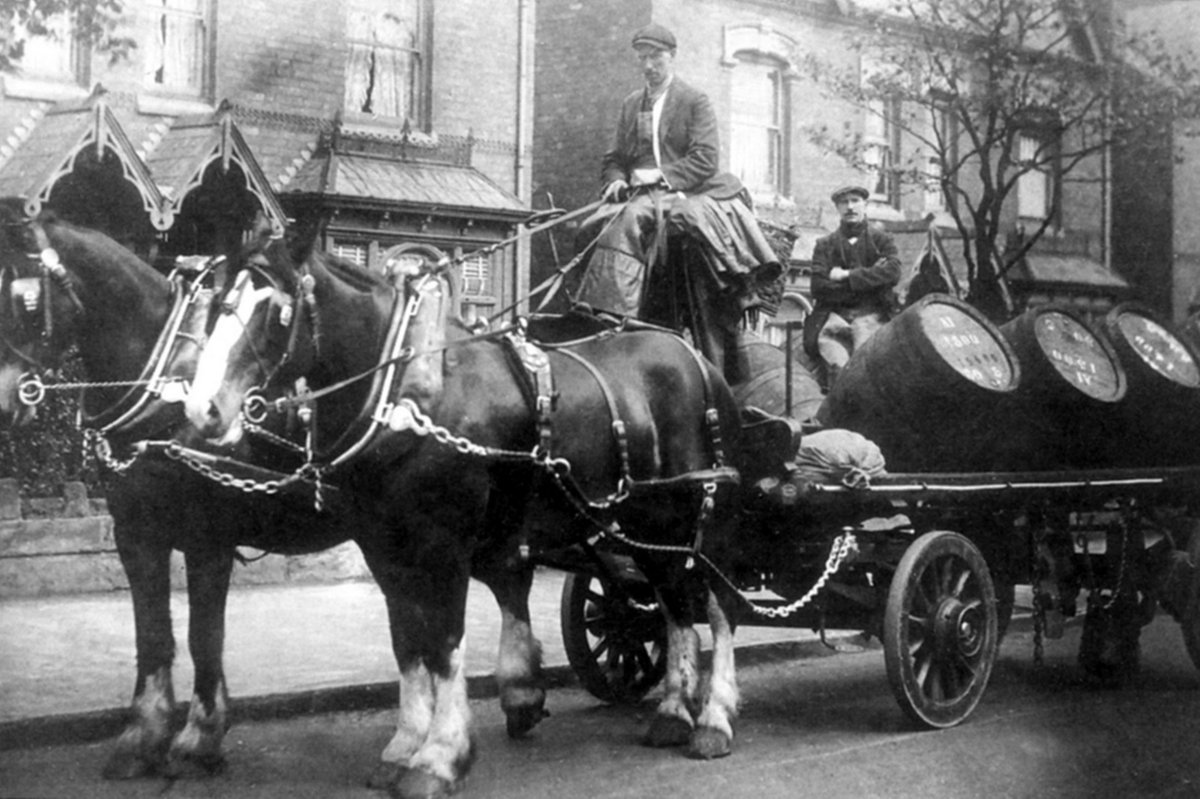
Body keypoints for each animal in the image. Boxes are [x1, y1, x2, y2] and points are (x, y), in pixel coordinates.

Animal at [0, 213, 549, 791]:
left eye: (21, 300)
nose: (8, 399)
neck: (163, 378)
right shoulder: (135, 534)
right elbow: (152, 636)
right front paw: (142, 739)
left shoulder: (209, 538)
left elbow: (203, 636)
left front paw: (199, 738)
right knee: (501, 581)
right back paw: (517, 693)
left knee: (503, 583)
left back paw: (508, 696)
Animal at [183, 219, 748, 796]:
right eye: (218, 305)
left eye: (275, 308)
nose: (203, 410)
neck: (411, 392)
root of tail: (699, 361)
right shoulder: (383, 547)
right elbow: (407, 642)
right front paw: (404, 745)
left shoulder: (445, 545)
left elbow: (444, 643)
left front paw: (439, 755)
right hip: (648, 524)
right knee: (675, 606)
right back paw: (673, 712)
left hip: (705, 518)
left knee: (718, 607)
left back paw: (714, 719)